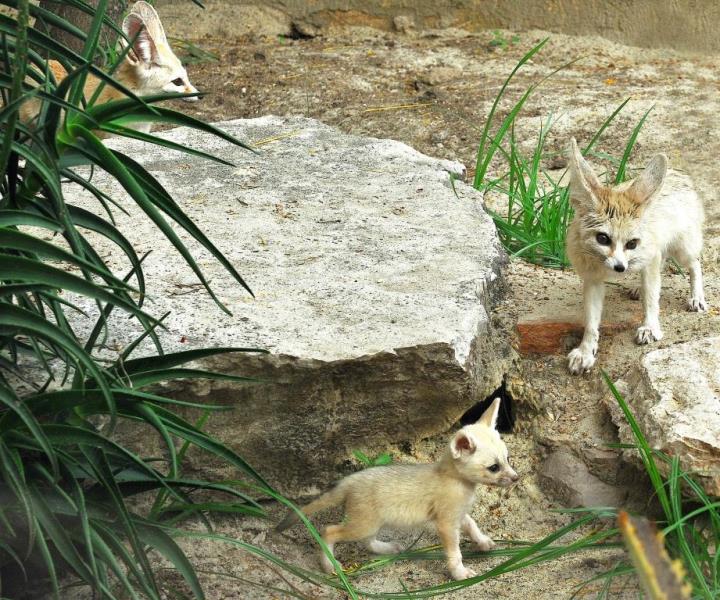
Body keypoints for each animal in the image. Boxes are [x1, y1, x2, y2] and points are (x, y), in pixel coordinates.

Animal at [276, 398, 516, 580]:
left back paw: (387, 548)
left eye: (508, 458)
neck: (456, 481)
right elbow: (455, 553)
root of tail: (350, 479)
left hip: (372, 524)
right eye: (494, 468)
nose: (516, 478)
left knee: (367, 542)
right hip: (362, 524)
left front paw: (483, 542)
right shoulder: (446, 523)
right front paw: (460, 573)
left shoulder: (458, 514)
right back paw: (329, 565)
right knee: (329, 531)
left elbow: (473, 526)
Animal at [564, 138, 704, 372]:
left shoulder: (649, 259)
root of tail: (678, 172)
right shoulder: (592, 278)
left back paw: (697, 297)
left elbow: (651, 299)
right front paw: (585, 351)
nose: (620, 268)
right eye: (602, 238)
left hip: (682, 250)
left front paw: (650, 327)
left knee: (695, 265)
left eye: (631, 243)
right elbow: (591, 321)